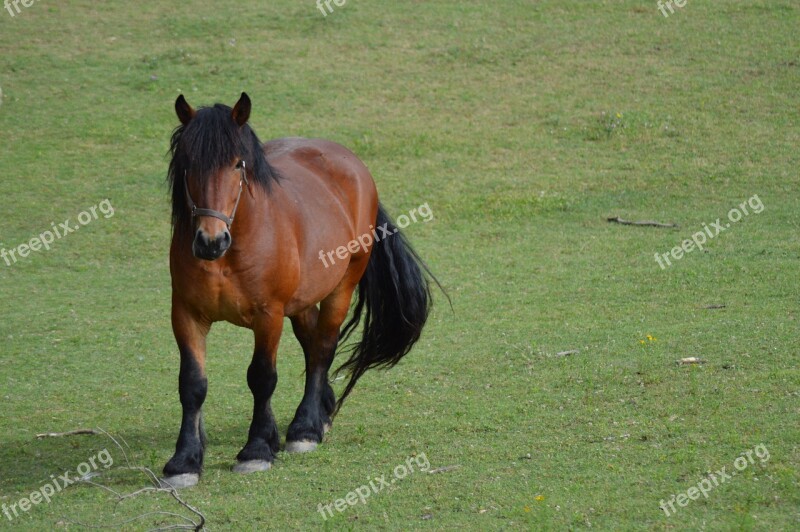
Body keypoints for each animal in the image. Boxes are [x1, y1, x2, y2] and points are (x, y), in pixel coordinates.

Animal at [161, 92, 438, 486]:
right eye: (188, 162)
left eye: (237, 164)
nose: (210, 241)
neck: (229, 255)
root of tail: (351, 162)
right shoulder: (186, 315)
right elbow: (192, 384)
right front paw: (184, 460)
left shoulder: (268, 315)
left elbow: (261, 377)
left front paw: (258, 449)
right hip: (303, 301)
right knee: (311, 344)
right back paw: (319, 412)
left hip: (341, 286)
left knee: (322, 348)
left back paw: (305, 429)